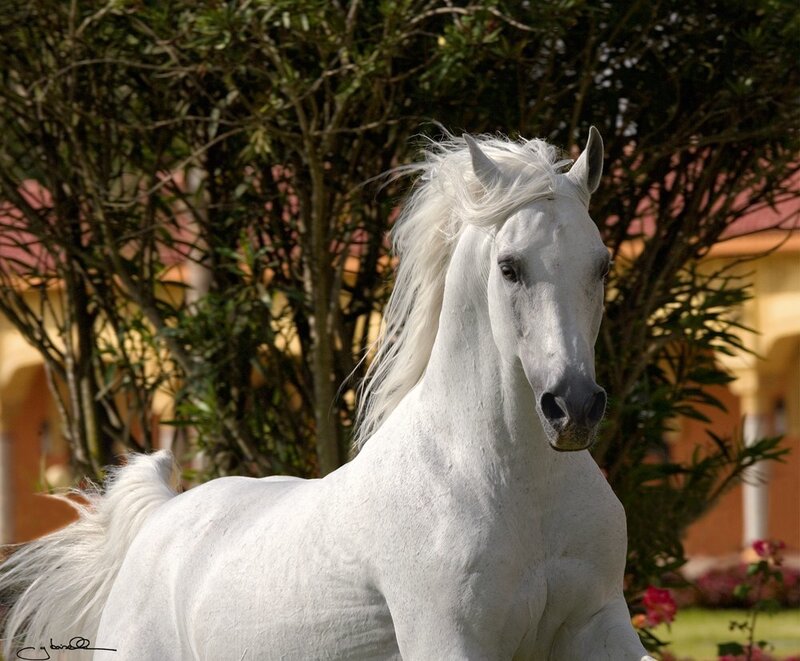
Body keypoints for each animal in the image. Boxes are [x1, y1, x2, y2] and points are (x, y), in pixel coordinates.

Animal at [1, 128, 654, 660]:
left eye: (601, 265)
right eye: (509, 267)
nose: (573, 408)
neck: (521, 492)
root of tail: (159, 519)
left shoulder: (600, 624)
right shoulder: (449, 639)